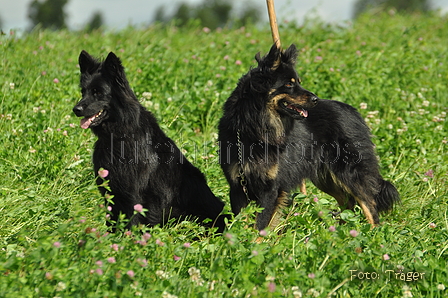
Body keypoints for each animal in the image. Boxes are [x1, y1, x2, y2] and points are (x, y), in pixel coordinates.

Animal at [218, 43, 400, 230]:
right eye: (289, 84)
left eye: (298, 82)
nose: (315, 99)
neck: (255, 128)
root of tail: (354, 112)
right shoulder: (238, 186)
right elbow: (242, 219)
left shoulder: (270, 188)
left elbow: (260, 223)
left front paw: (256, 238)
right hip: (325, 177)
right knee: (347, 201)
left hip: (349, 171)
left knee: (369, 202)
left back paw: (372, 232)